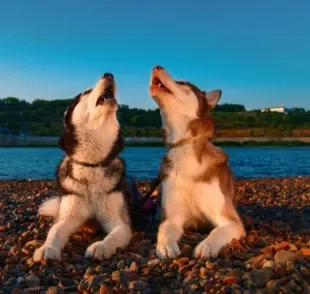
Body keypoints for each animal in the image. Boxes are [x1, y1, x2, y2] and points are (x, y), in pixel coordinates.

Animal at [33, 73, 141, 262]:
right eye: (86, 92)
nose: (108, 74)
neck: (91, 165)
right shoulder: (68, 216)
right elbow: (54, 231)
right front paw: (47, 248)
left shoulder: (119, 221)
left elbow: (114, 234)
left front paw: (100, 246)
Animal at [149, 65, 246, 258]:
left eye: (183, 83)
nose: (156, 66)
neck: (185, 146)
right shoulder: (173, 218)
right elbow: (164, 230)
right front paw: (165, 245)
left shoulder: (231, 221)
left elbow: (217, 231)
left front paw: (207, 245)